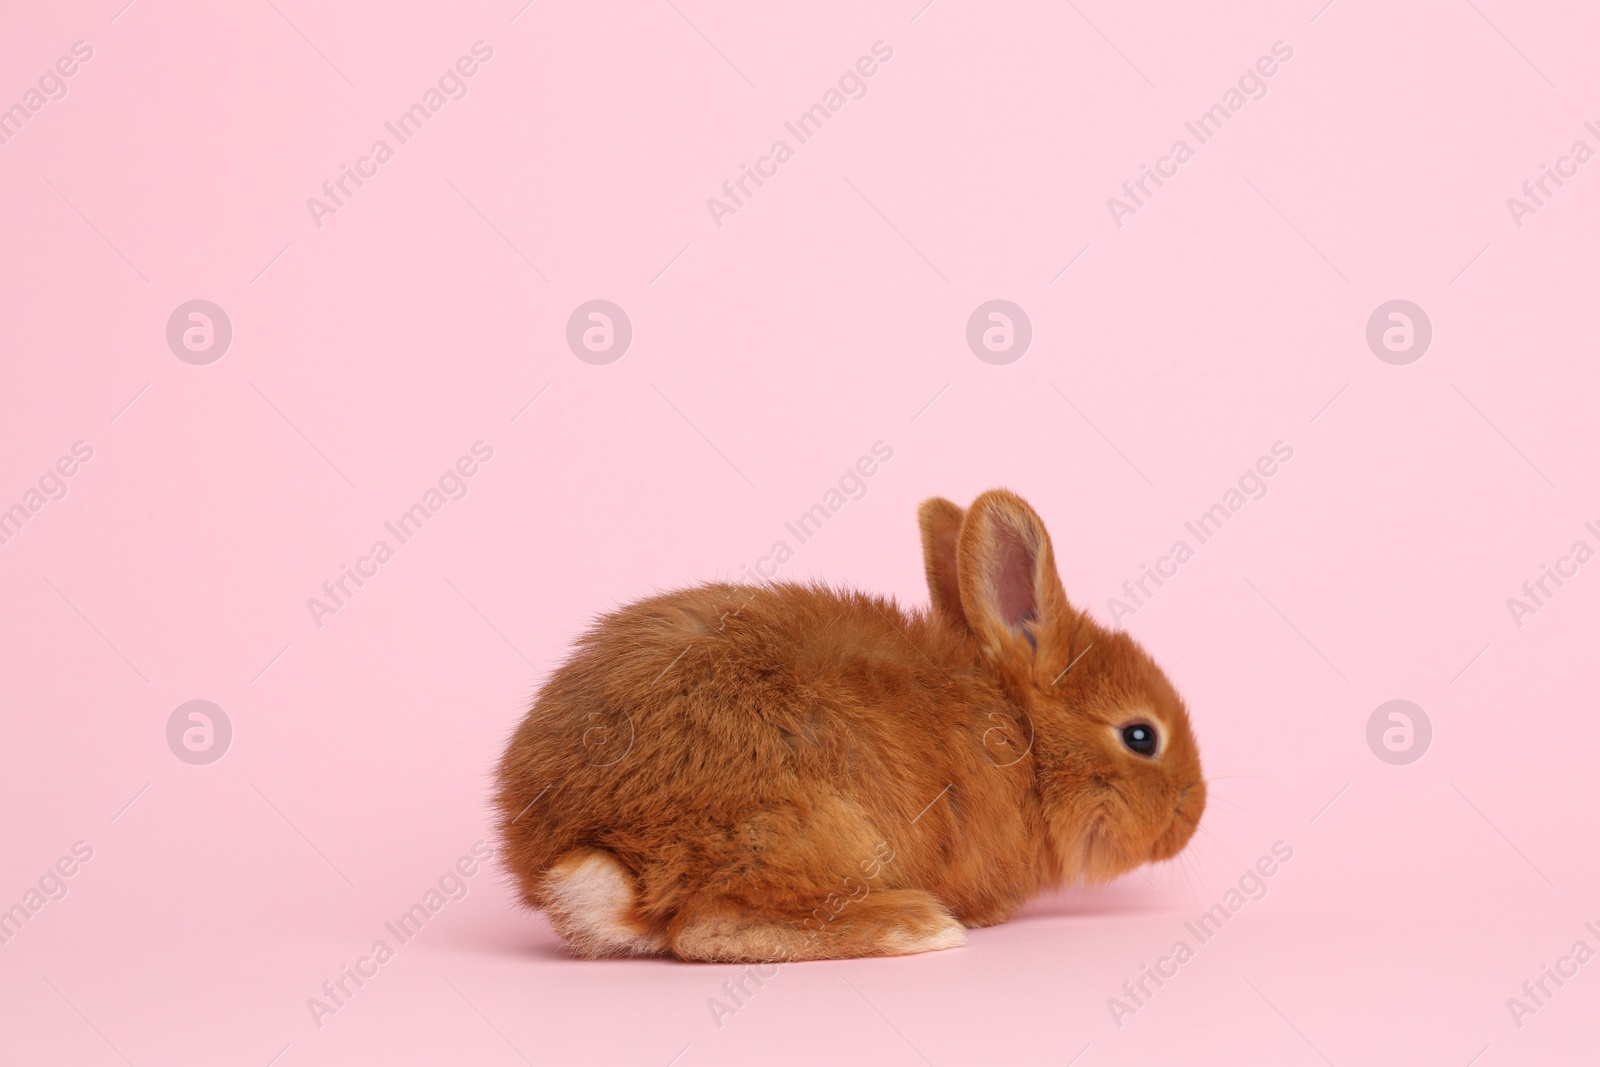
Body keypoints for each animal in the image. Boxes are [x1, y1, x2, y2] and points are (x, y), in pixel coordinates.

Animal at [492, 489, 1203, 966]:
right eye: (1141, 736)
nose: (1192, 815)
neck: (1023, 739)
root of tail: (587, 851)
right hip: (801, 828)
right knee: (711, 926)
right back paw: (920, 926)